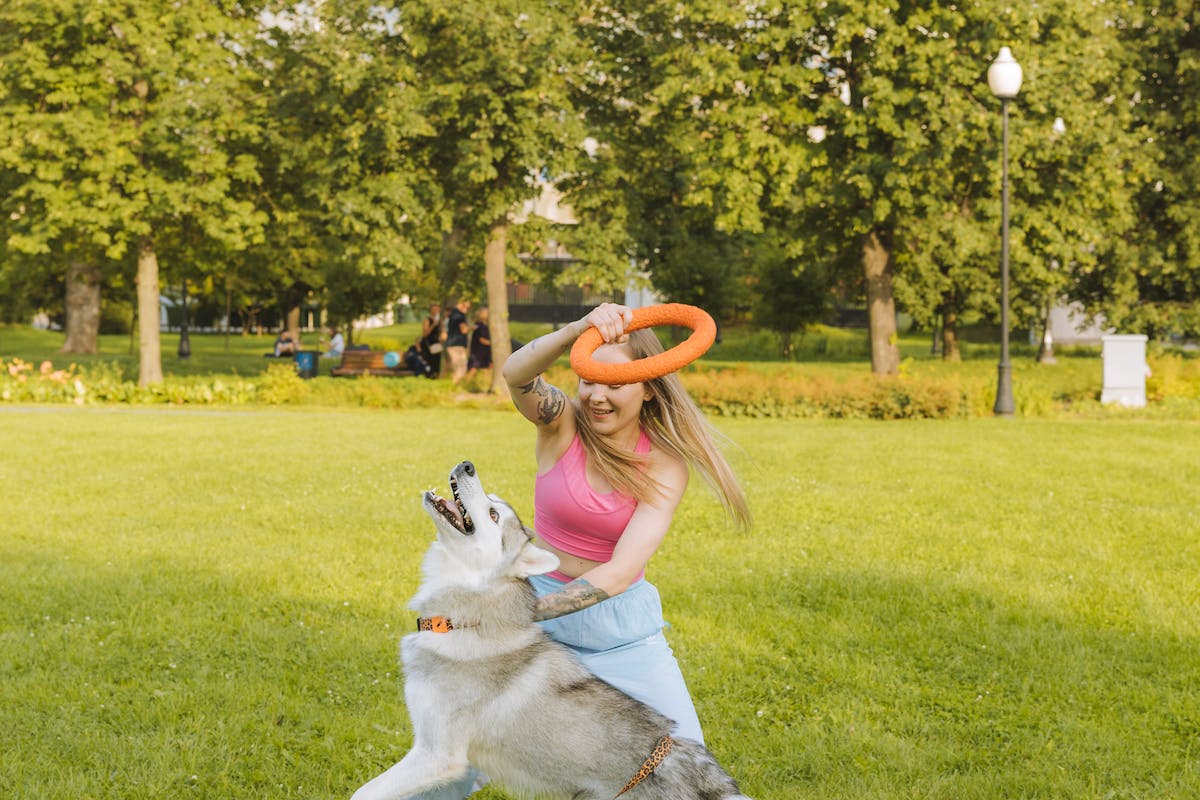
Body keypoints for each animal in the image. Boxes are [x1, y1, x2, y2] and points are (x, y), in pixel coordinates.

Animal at [350, 460, 748, 800]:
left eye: (493, 514)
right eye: (493, 502)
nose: (467, 465)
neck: (463, 618)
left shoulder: (437, 755)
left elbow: (361, 793)